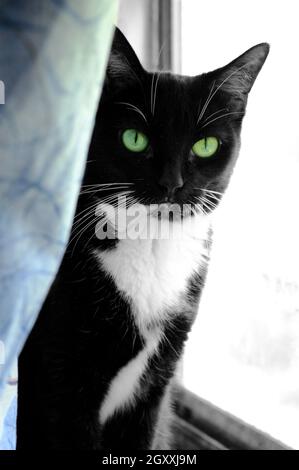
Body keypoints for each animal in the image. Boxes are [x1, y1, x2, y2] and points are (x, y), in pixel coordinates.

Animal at [15, 27, 270, 450]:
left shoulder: (156, 383)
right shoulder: (61, 380)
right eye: (134, 139)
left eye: (205, 145)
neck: (151, 246)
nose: (171, 183)